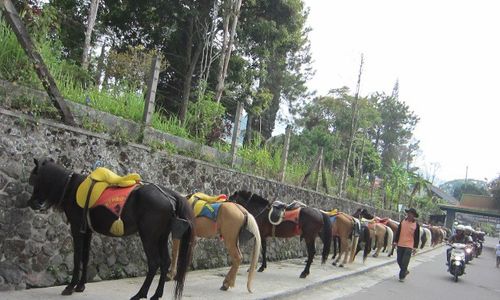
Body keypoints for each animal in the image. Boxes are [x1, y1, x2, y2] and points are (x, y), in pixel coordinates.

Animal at [26, 158, 195, 298]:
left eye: (34, 179)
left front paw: (70, 287)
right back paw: (156, 295)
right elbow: (85, 256)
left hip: (148, 236)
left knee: (154, 263)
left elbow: (77, 256)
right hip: (161, 236)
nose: (32, 203)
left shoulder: (76, 228)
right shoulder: (87, 230)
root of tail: (169, 195)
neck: (71, 187)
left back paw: (140, 294)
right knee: (165, 261)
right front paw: (80, 286)